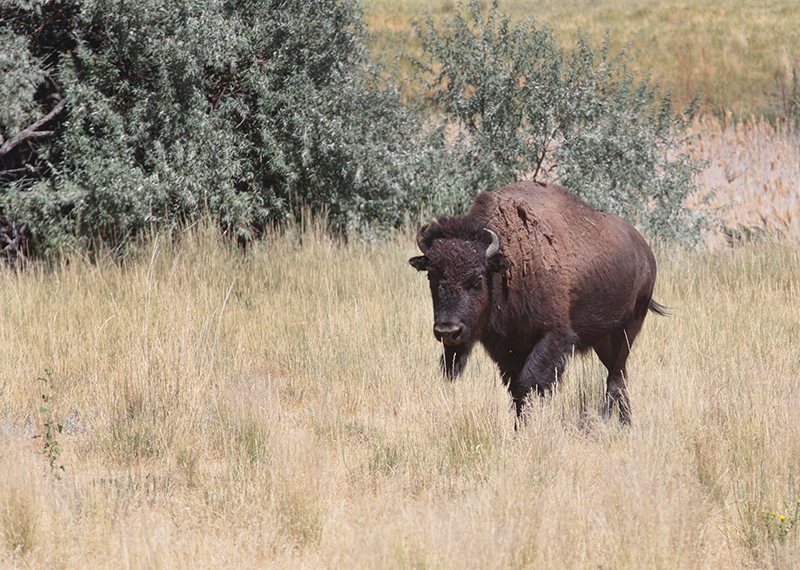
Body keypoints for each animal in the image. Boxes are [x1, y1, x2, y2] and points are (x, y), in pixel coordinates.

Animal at [409, 180, 667, 424]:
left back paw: (603, 423)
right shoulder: (505, 347)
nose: (448, 331)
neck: (508, 264)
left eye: (477, 278)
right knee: (621, 377)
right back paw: (626, 425)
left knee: (614, 379)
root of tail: (645, 252)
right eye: (432, 276)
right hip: (604, 339)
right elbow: (515, 389)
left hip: (627, 329)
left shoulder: (553, 337)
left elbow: (529, 384)